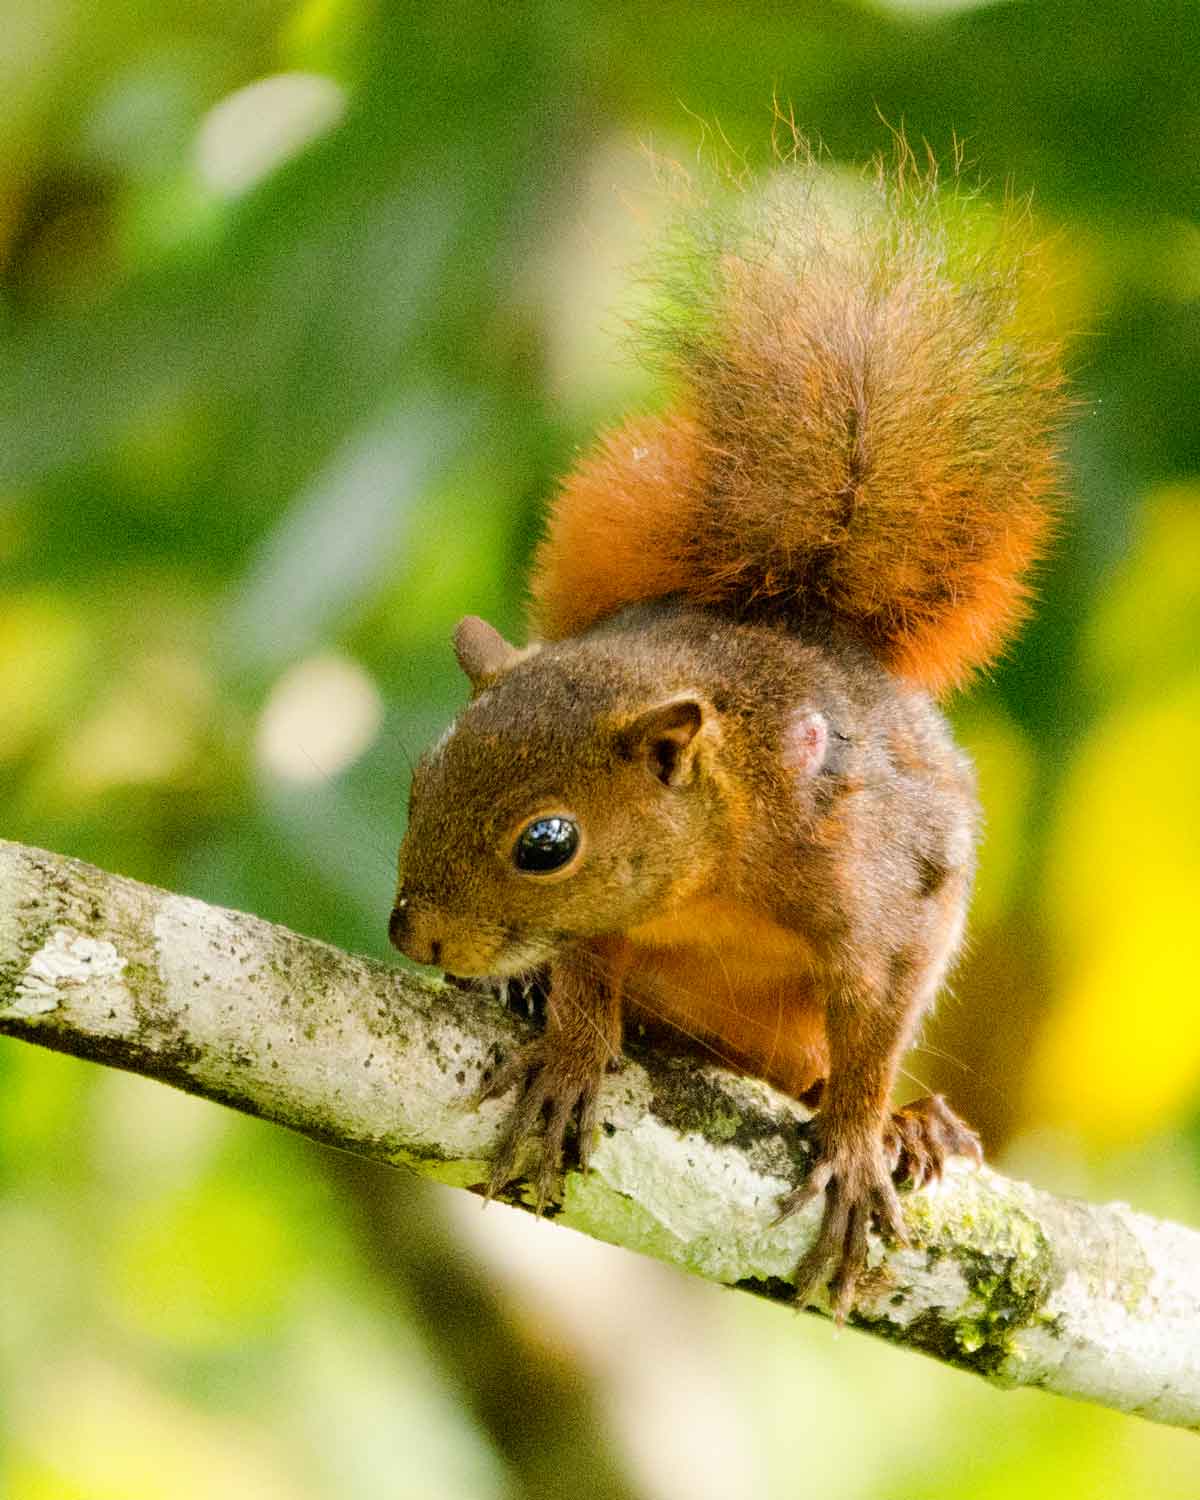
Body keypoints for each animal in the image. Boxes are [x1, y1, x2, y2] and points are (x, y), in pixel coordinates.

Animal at [388, 148, 1068, 1317]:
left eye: (546, 843)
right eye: (415, 784)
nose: (412, 935)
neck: (729, 846)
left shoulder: (888, 891)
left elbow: (878, 1014)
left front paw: (860, 1137)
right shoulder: (617, 915)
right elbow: (592, 968)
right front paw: (571, 1046)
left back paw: (916, 1126)